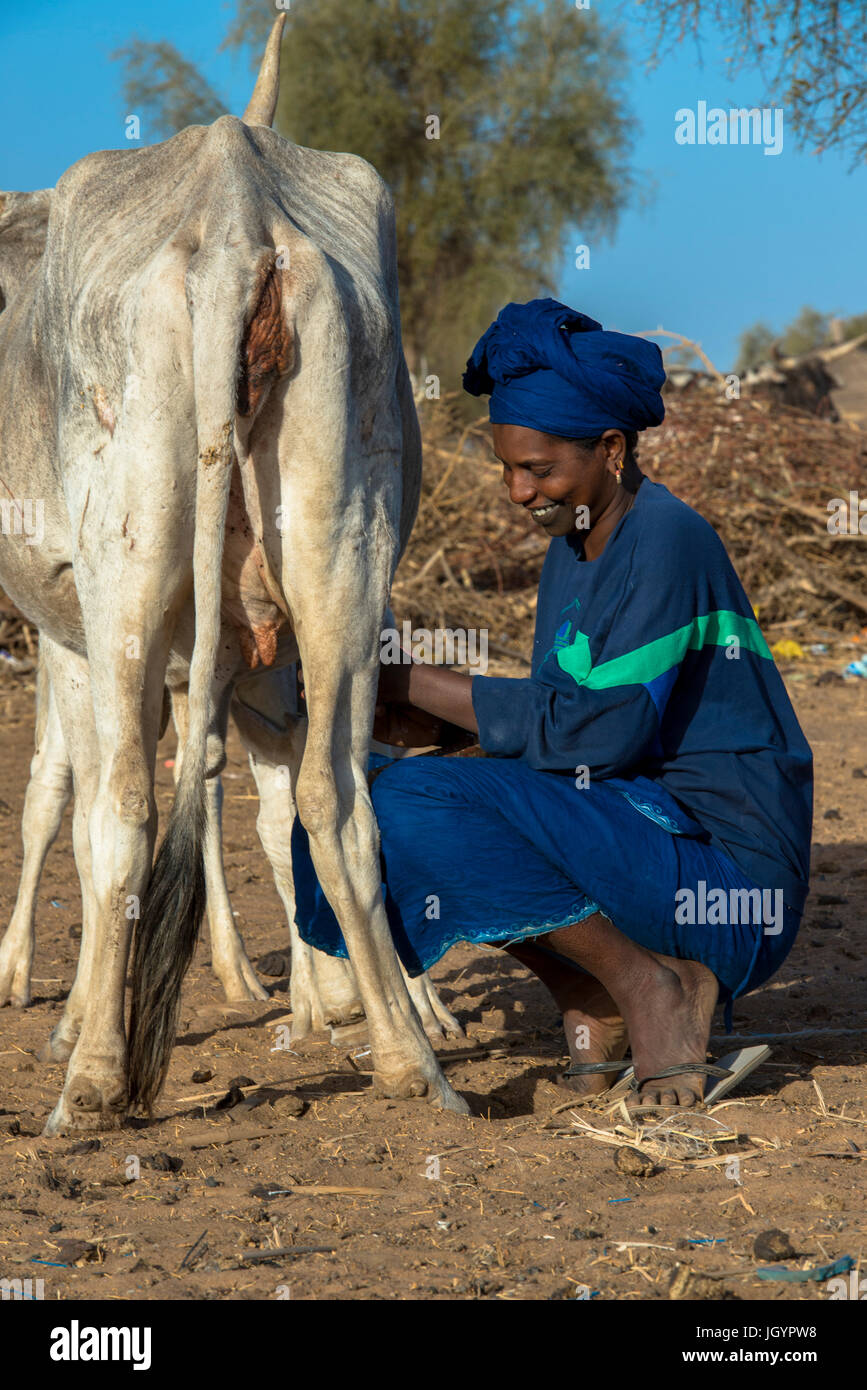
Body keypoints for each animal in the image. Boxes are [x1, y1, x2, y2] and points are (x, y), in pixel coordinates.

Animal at [0, 16, 466, 1128]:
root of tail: (233, 212)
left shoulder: (69, 635)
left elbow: (74, 808)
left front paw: (72, 1019)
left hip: (124, 579)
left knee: (125, 809)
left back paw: (94, 1077)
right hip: (341, 560)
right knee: (334, 801)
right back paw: (406, 1056)